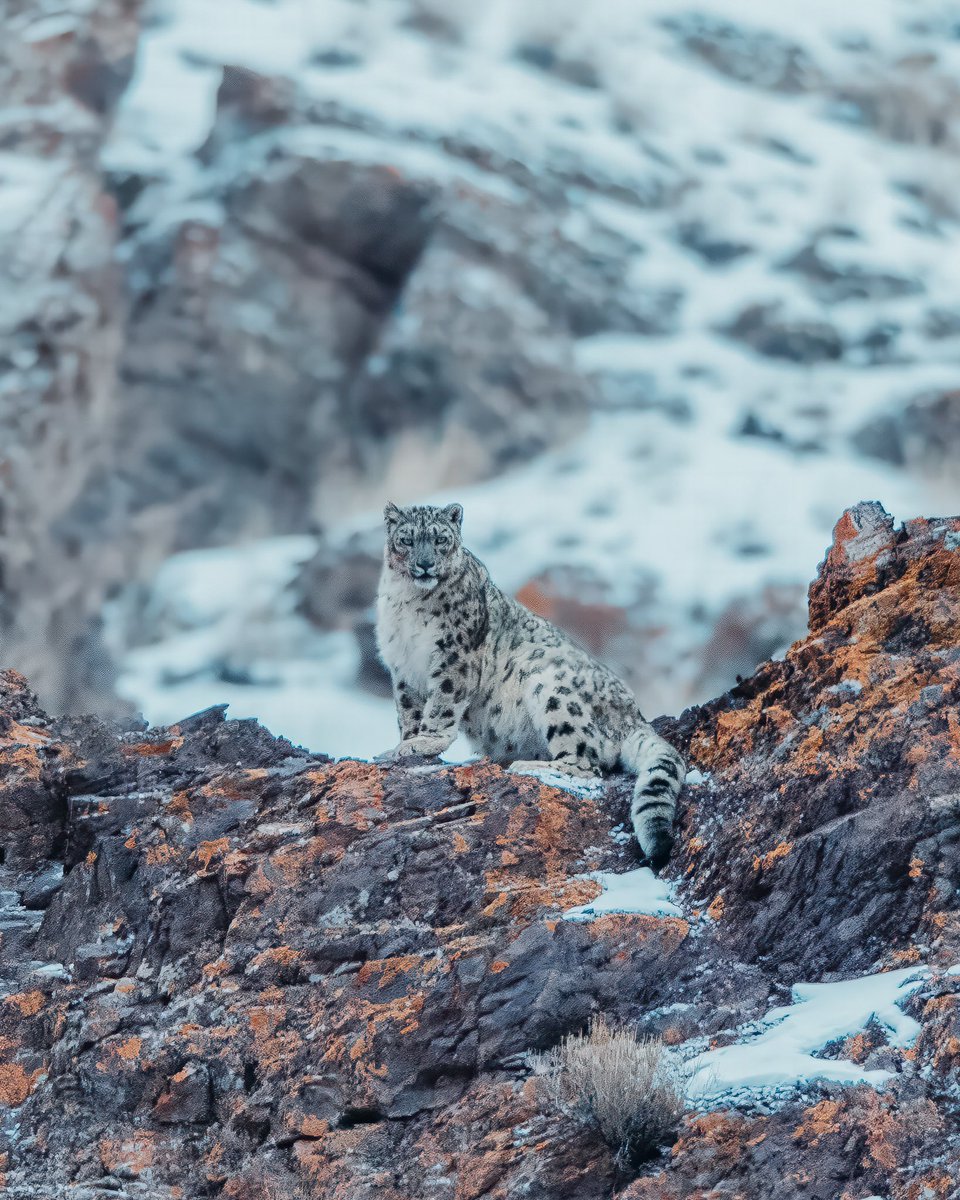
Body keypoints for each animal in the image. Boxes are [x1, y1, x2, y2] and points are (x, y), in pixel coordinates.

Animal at [374, 501, 681, 868]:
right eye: (407, 540)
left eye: (440, 539)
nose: (424, 564)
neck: (409, 602)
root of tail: (635, 716)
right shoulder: (402, 668)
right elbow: (408, 711)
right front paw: (402, 745)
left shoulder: (455, 656)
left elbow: (442, 703)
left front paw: (424, 741)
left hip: (550, 687)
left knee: (587, 762)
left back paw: (527, 766)